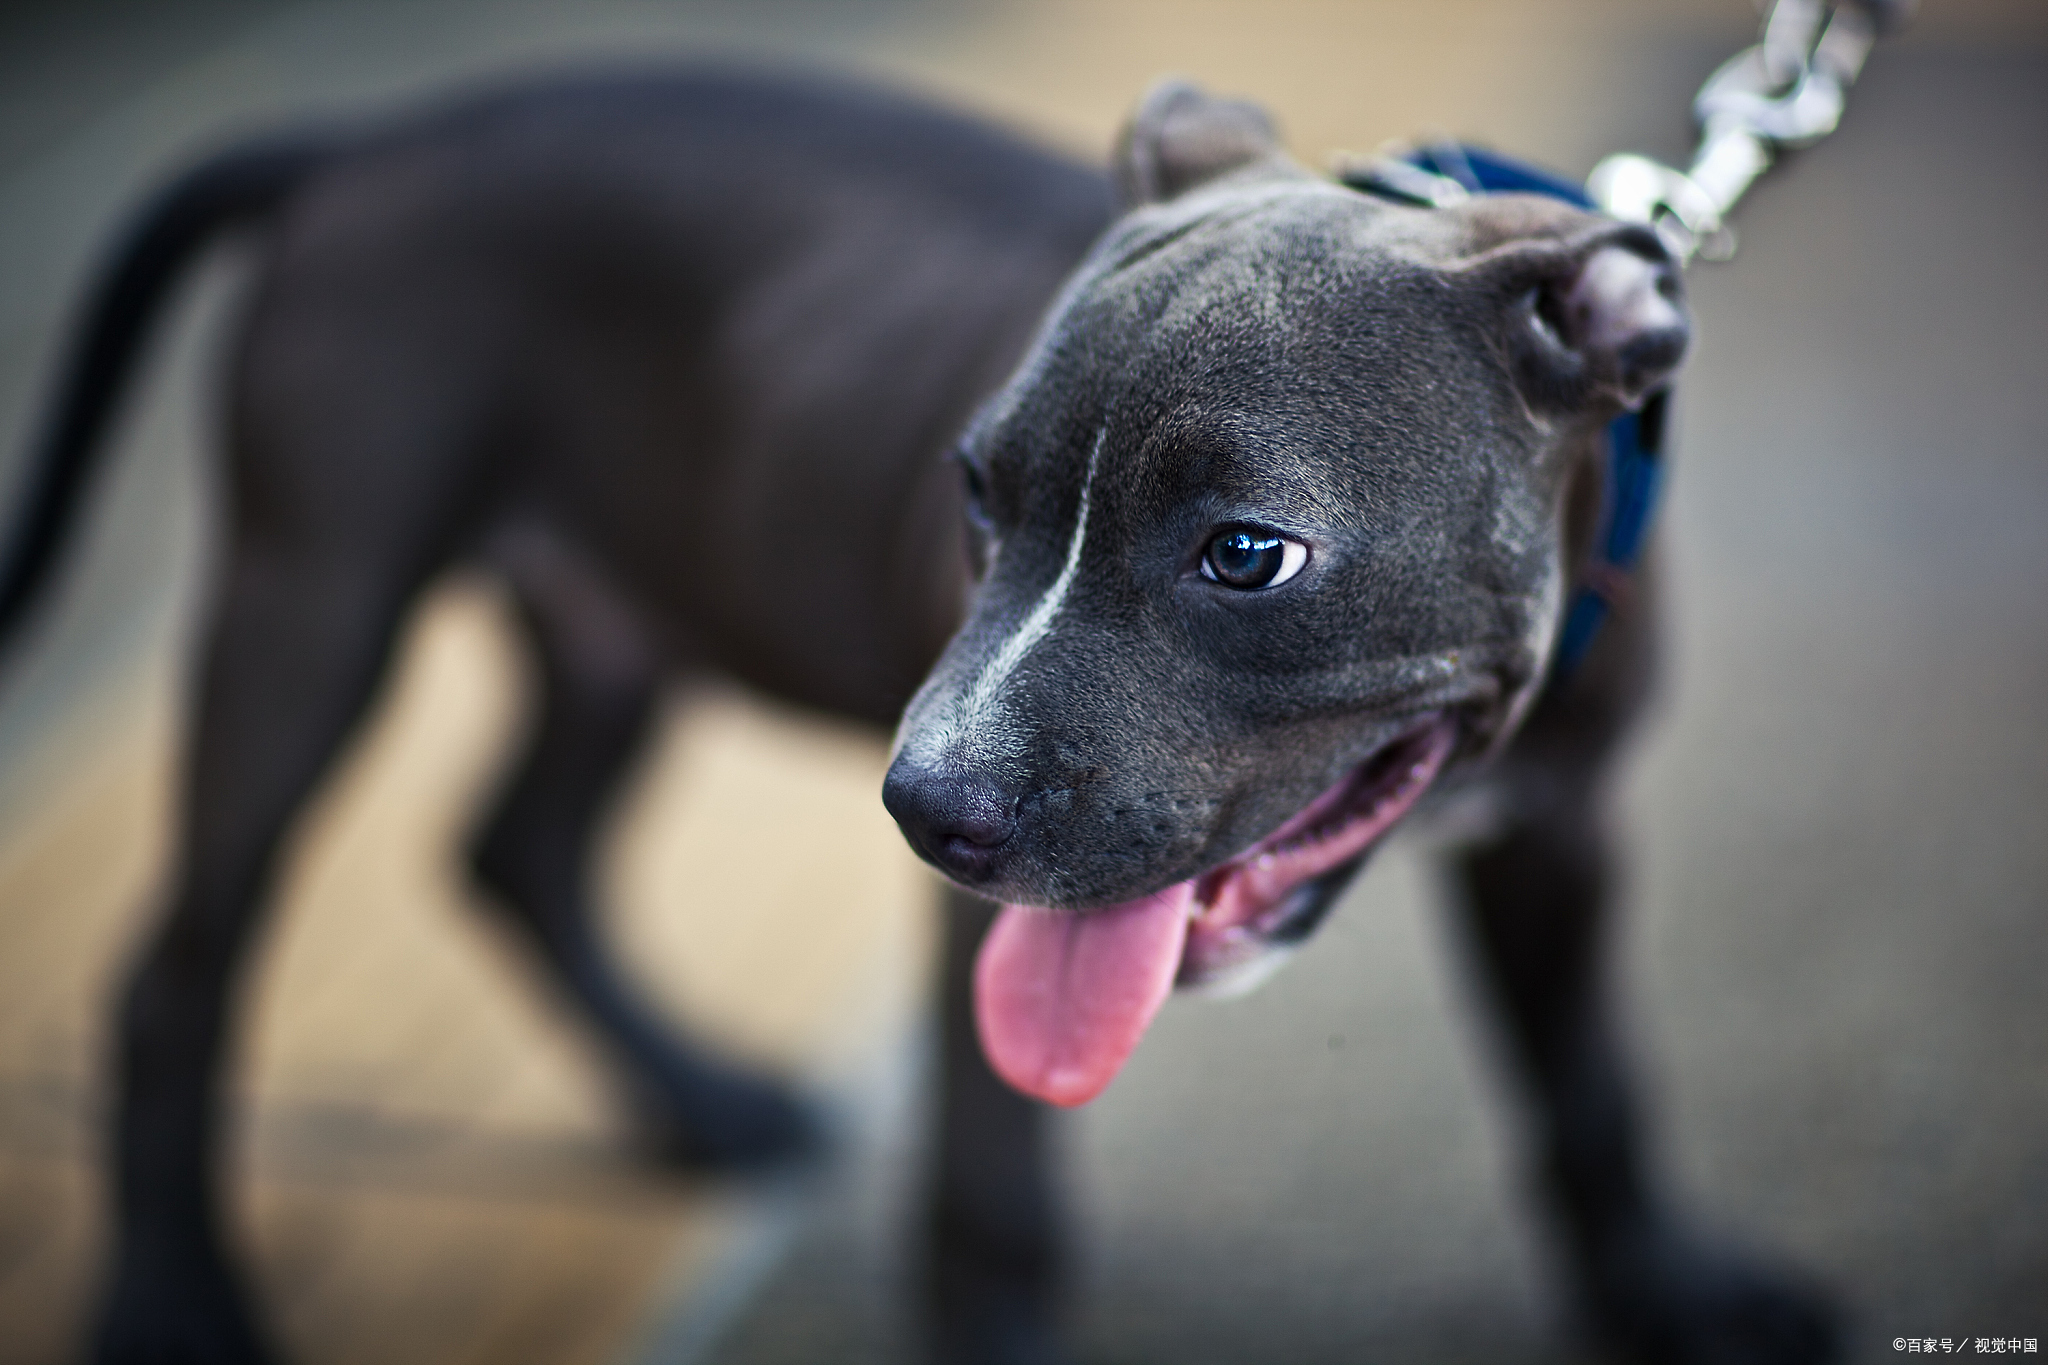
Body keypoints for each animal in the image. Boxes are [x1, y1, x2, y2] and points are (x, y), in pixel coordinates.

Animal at [0, 61, 1826, 1365]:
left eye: (1251, 553)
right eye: (973, 491)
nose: (922, 806)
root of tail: (370, 140)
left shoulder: (1562, 831)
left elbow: (1587, 1087)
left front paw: (1669, 1298)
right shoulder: (994, 928)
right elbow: (989, 1200)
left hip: (619, 623)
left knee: (513, 847)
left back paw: (701, 1102)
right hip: (310, 601)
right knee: (180, 976)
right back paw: (173, 1314)